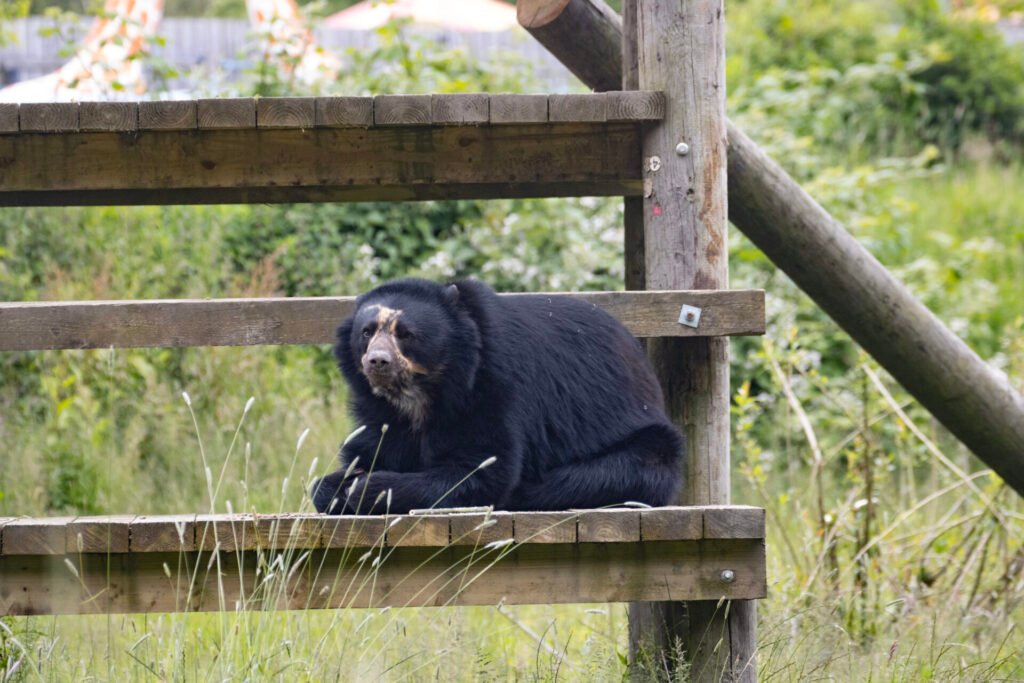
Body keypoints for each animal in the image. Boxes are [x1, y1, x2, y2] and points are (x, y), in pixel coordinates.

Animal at [307, 276, 684, 511]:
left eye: (406, 334)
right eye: (367, 332)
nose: (377, 362)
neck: (421, 393)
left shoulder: (491, 386)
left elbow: (481, 468)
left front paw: (368, 488)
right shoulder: (380, 412)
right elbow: (366, 452)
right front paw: (341, 485)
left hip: (644, 441)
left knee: (611, 472)